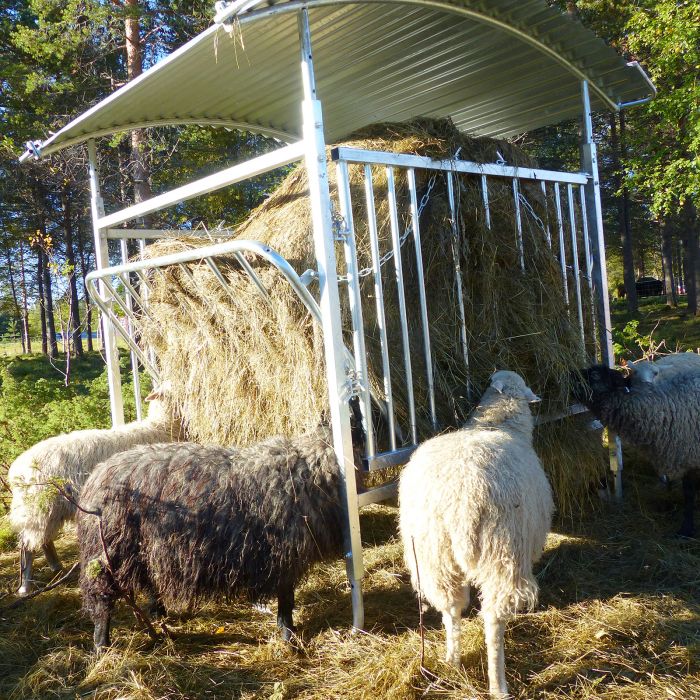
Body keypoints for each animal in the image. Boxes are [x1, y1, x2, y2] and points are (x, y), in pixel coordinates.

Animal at [7, 382, 182, 596]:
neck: (160, 427)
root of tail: (16, 471)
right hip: (36, 507)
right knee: (28, 545)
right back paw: (25, 585)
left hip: (49, 510)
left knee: (44, 540)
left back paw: (57, 567)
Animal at [78, 424, 350, 648]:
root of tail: (96, 476)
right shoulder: (285, 555)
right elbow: (286, 599)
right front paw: (288, 635)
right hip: (109, 550)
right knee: (101, 596)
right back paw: (102, 643)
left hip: (145, 549)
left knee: (149, 581)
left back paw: (158, 612)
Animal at [400, 370, 552, 696]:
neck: (496, 423)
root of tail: (459, 504)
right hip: (502, 554)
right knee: (493, 620)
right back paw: (498, 685)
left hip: (435, 557)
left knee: (450, 609)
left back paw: (452, 660)